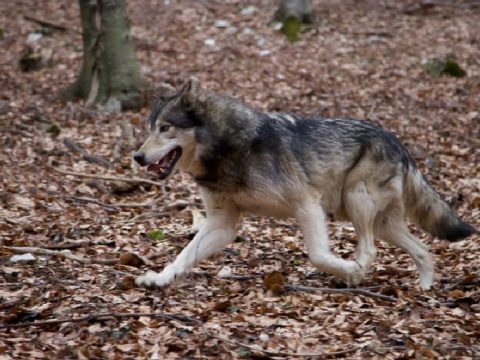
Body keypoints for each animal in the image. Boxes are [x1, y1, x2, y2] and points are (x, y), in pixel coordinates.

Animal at [131, 76, 476, 290]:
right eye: (149, 128)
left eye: (165, 128)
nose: (137, 156)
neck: (228, 146)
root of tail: (398, 142)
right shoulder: (222, 224)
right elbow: (183, 255)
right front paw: (158, 279)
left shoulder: (307, 204)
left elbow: (317, 255)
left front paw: (349, 271)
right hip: (378, 221)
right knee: (423, 251)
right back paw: (424, 289)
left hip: (356, 202)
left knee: (370, 252)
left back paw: (355, 276)